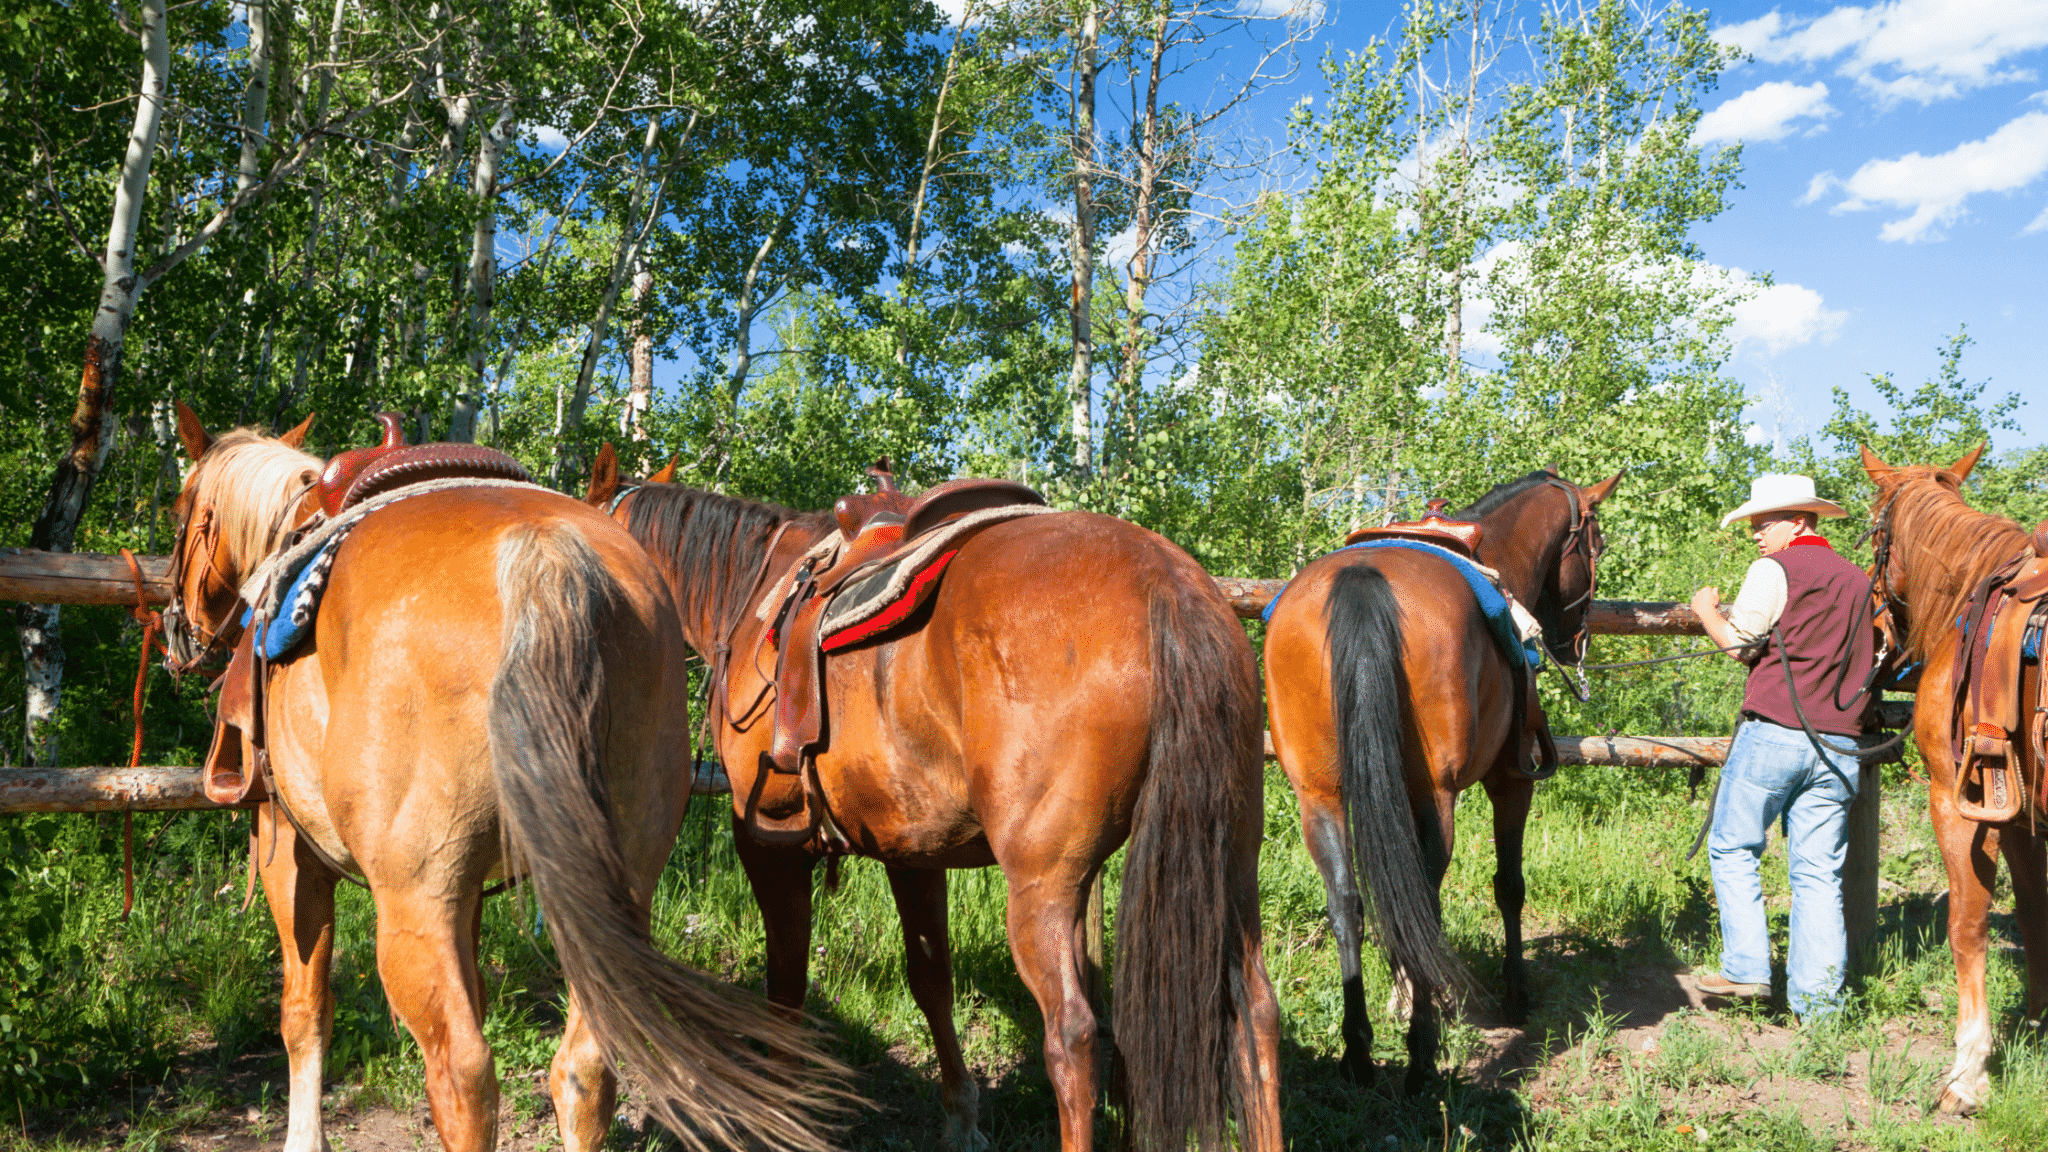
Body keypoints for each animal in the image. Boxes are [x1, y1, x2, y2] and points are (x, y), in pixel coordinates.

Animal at [155, 405, 847, 1152]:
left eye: (182, 511)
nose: (177, 631)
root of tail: (546, 553)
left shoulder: (290, 851)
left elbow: (305, 1013)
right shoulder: (472, 892)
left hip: (414, 903)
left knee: (462, 1074)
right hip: (619, 888)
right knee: (584, 1068)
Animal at [577, 455, 1277, 1147]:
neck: (751, 597)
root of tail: (1166, 582)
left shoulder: (770, 839)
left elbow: (786, 986)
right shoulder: (912, 850)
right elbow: (931, 980)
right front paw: (961, 1117)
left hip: (1043, 883)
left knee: (1074, 1038)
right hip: (1231, 861)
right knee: (1255, 1019)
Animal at [1261, 463, 1613, 1082]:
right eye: (1596, 545)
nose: (1575, 642)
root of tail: (1361, 579)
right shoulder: (1510, 782)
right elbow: (1509, 885)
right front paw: (1514, 993)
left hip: (1317, 795)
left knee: (1347, 902)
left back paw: (1359, 1051)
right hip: (1436, 795)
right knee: (1421, 901)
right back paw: (1421, 1056)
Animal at [1867, 444, 2039, 1106]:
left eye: (1874, 533)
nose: (1876, 629)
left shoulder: (1957, 801)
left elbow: (1967, 923)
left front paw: (1968, 1069)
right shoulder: (2021, 817)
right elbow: (2037, 913)